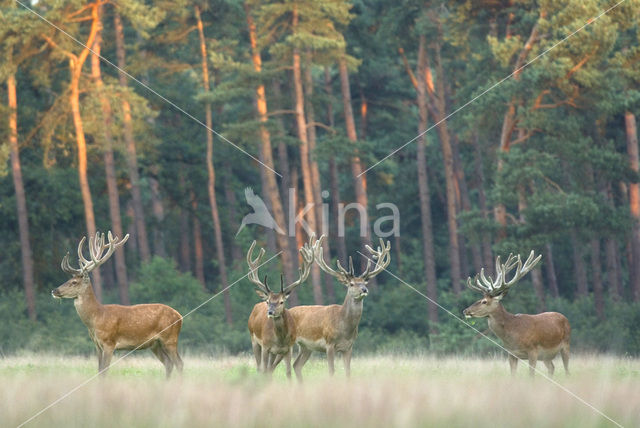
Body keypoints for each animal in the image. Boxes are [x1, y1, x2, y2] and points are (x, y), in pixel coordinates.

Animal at [51, 232, 184, 376]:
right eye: (69, 280)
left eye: (74, 282)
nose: (54, 290)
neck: (96, 317)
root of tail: (180, 316)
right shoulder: (97, 345)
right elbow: (99, 371)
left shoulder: (109, 342)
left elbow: (104, 371)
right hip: (155, 344)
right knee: (168, 363)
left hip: (170, 339)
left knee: (179, 363)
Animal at [246, 237, 314, 382]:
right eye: (268, 301)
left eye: (281, 301)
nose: (270, 312)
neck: (280, 339)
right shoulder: (265, 346)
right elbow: (264, 370)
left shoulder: (288, 349)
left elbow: (288, 372)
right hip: (254, 340)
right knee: (261, 368)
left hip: (275, 353)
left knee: (270, 369)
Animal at [290, 236, 390, 380]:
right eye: (351, 284)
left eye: (364, 283)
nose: (364, 290)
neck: (344, 328)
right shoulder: (329, 344)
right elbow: (331, 370)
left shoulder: (349, 347)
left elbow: (348, 372)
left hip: (306, 347)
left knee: (296, 365)